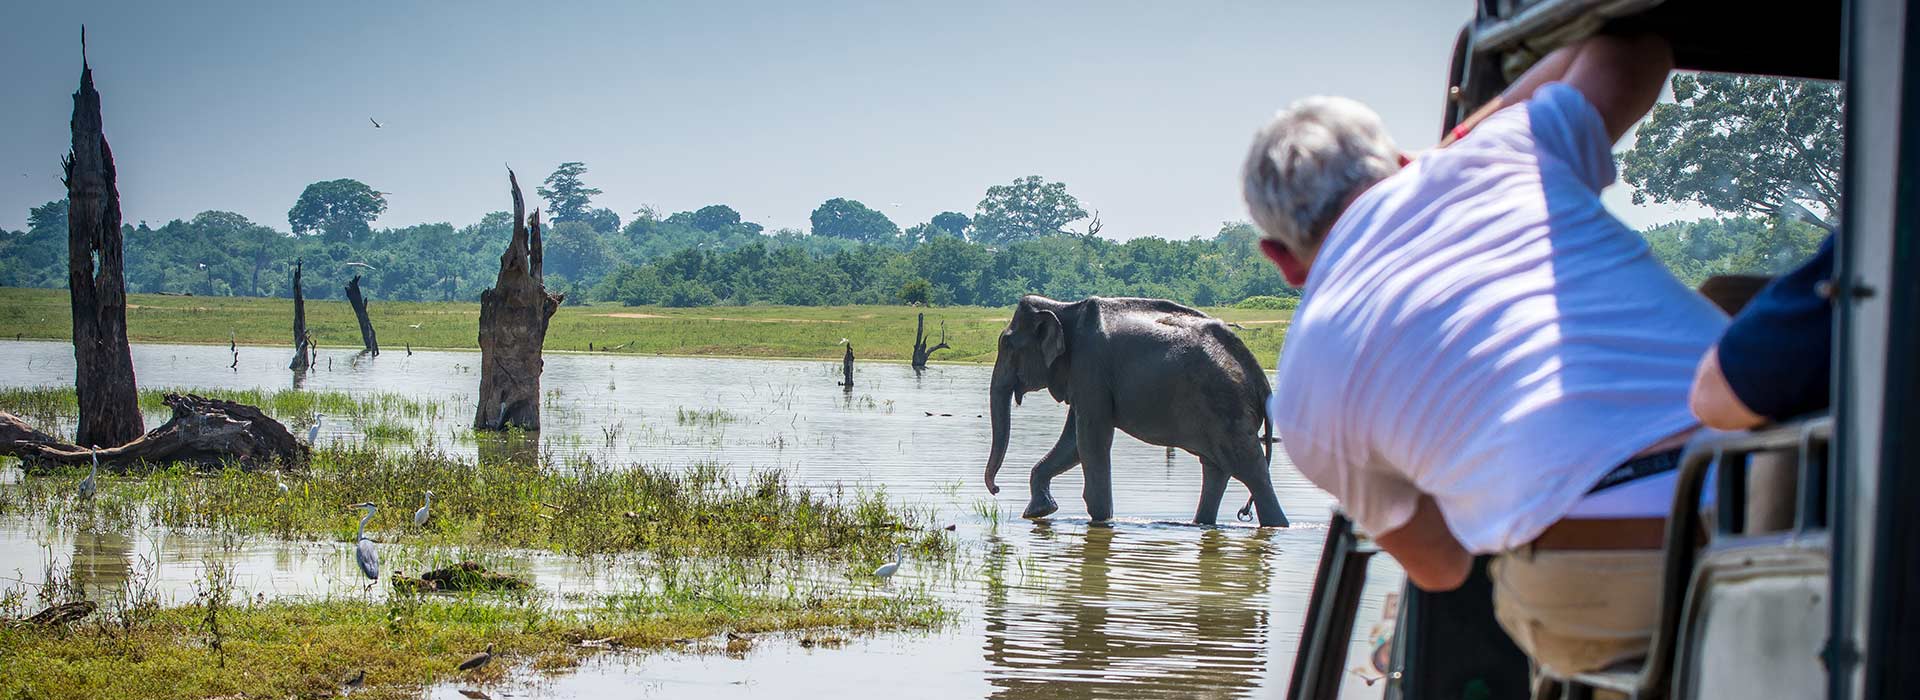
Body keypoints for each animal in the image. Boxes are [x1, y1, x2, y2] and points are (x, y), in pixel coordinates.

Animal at [983, 291, 1282, 525]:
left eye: (1006, 344)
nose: (996, 489)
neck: (1064, 307)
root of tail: (1260, 379)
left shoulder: (1090, 367)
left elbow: (1091, 440)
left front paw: (1101, 519)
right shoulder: (1083, 378)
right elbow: (1073, 443)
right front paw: (1039, 512)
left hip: (1229, 409)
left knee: (1251, 471)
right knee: (1216, 470)